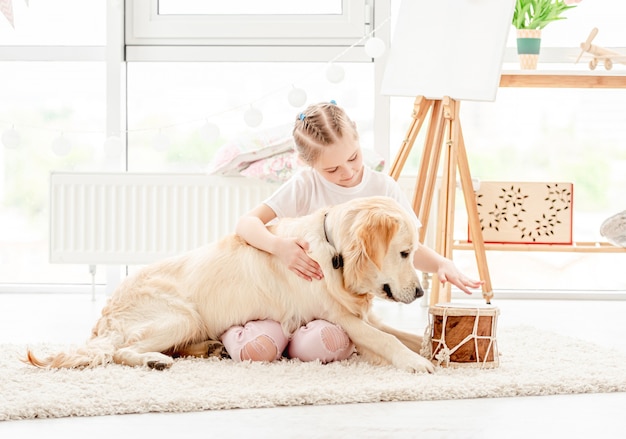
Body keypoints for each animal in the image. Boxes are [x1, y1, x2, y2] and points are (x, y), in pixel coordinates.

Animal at [25, 196, 434, 374]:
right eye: (404, 253)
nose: (419, 292)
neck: (333, 253)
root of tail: (106, 313)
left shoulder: (364, 315)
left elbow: (408, 334)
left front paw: (434, 351)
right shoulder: (342, 319)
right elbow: (387, 340)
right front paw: (417, 363)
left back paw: (208, 349)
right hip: (180, 315)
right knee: (120, 352)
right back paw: (155, 360)